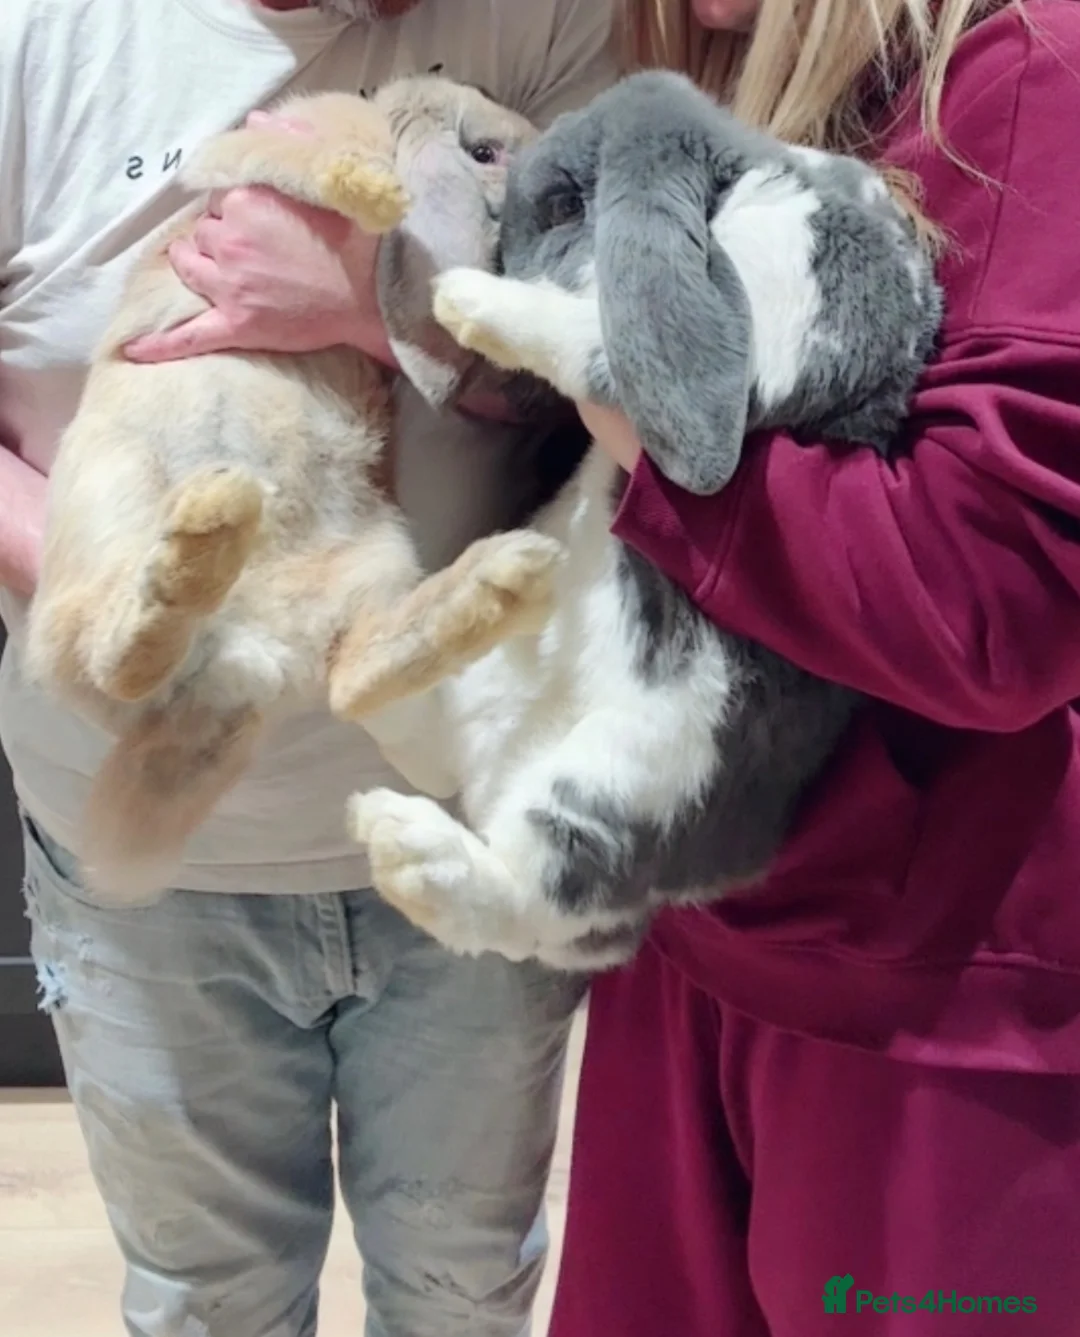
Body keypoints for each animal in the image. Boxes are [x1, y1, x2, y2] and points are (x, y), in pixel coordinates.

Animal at [345, 70, 944, 971]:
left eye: (563, 202)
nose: (476, 260)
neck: (749, 182)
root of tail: (493, 770)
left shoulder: (783, 311)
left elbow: (592, 336)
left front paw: (470, 301)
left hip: (618, 793)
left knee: (518, 899)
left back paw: (400, 839)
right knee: (375, 707)